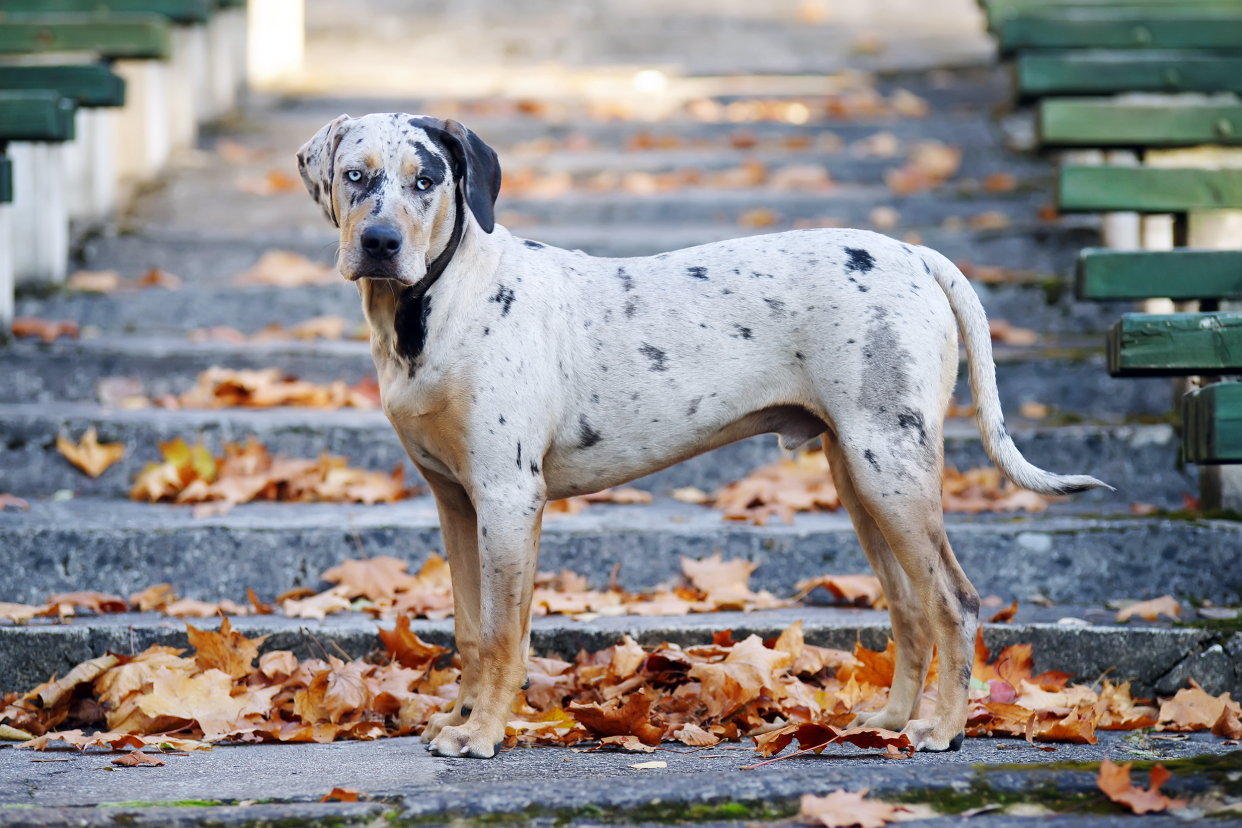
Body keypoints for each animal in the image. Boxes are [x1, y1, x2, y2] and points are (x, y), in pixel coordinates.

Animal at [295, 113, 1112, 759]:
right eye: (355, 176)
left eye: (426, 179)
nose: (379, 241)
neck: (434, 306)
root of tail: (916, 255)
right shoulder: (456, 503)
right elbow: (469, 629)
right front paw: (460, 720)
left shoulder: (506, 497)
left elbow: (501, 635)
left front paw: (483, 734)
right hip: (859, 474)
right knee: (910, 606)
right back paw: (886, 719)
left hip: (891, 468)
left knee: (955, 601)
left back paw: (942, 730)